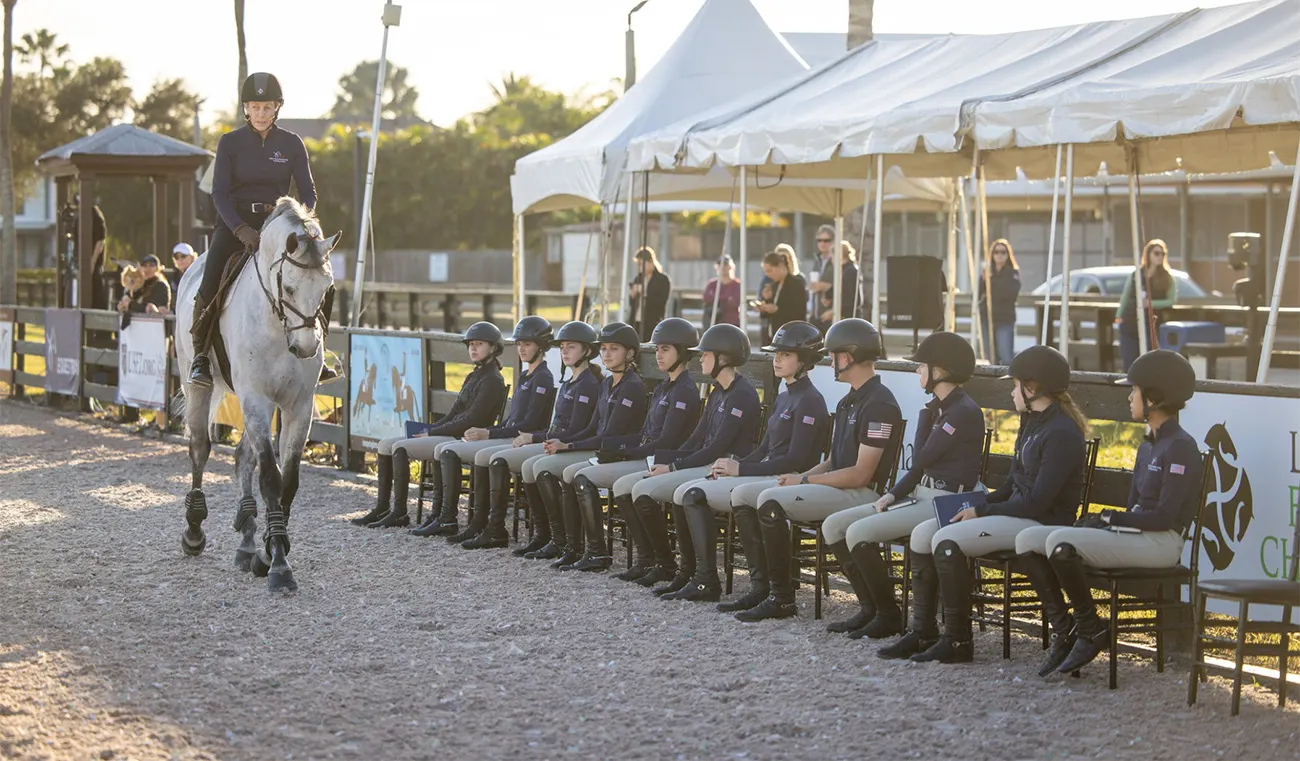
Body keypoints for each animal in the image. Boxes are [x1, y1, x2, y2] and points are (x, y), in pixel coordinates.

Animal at [174, 197, 340, 592]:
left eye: (326, 288)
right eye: (290, 288)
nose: (306, 348)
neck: (277, 324)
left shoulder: (298, 406)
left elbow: (287, 480)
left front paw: (268, 549)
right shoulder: (257, 399)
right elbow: (270, 478)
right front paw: (278, 562)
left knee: (241, 458)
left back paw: (248, 540)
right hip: (201, 386)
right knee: (200, 448)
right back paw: (194, 531)